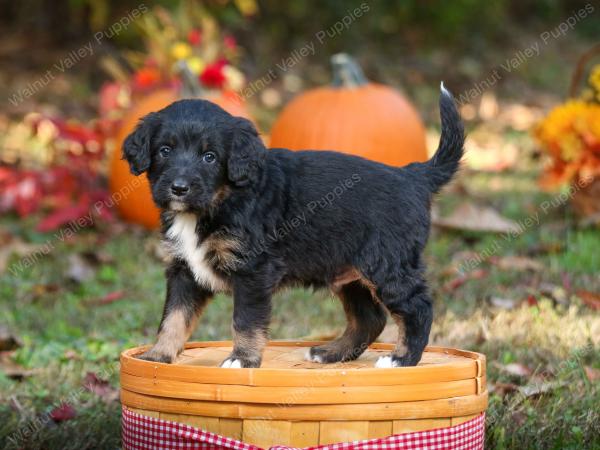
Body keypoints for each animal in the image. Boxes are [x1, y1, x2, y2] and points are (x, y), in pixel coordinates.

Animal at [124, 82, 464, 368]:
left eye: (209, 157)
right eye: (164, 151)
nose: (179, 188)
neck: (219, 202)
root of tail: (412, 175)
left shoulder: (253, 271)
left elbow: (245, 320)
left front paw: (242, 360)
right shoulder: (185, 269)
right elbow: (173, 316)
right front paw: (157, 357)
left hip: (387, 265)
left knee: (419, 307)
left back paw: (401, 359)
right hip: (350, 273)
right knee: (370, 318)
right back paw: (331, 353)